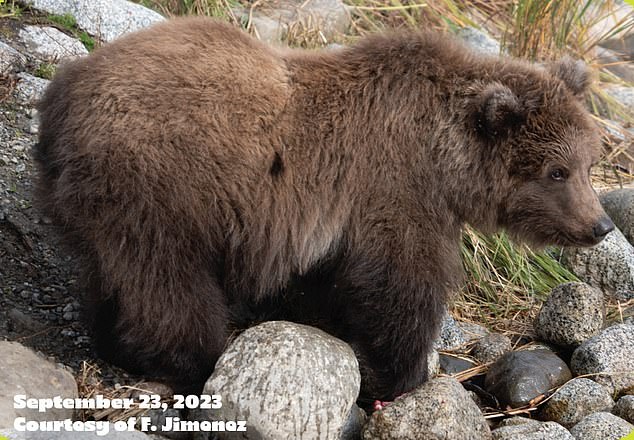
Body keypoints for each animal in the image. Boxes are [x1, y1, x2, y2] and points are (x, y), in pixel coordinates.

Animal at [34, 16, 612, 402]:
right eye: (556, 171)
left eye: (589, 162)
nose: (601, 225)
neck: (444, 155)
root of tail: (62, 95)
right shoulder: (395, 187)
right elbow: (400, 283)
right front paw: (402, 373)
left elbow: (331, 282)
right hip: (162, 184)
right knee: (165, 281)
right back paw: (191, 355)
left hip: (103, 199)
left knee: (114, 272)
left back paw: (111, 337)